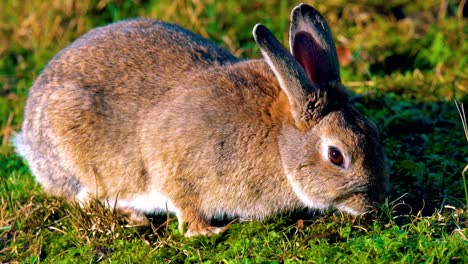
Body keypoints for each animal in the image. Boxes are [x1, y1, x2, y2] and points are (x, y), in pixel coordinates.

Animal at [13, 3, 388, 236]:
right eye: (336, 156)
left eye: (375, 133)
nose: (372, 205)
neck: (280, 144)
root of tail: (28, 137)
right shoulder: (176, 166)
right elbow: (184, 201)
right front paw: (207, 231)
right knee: (83, 196)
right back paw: (133, 215)